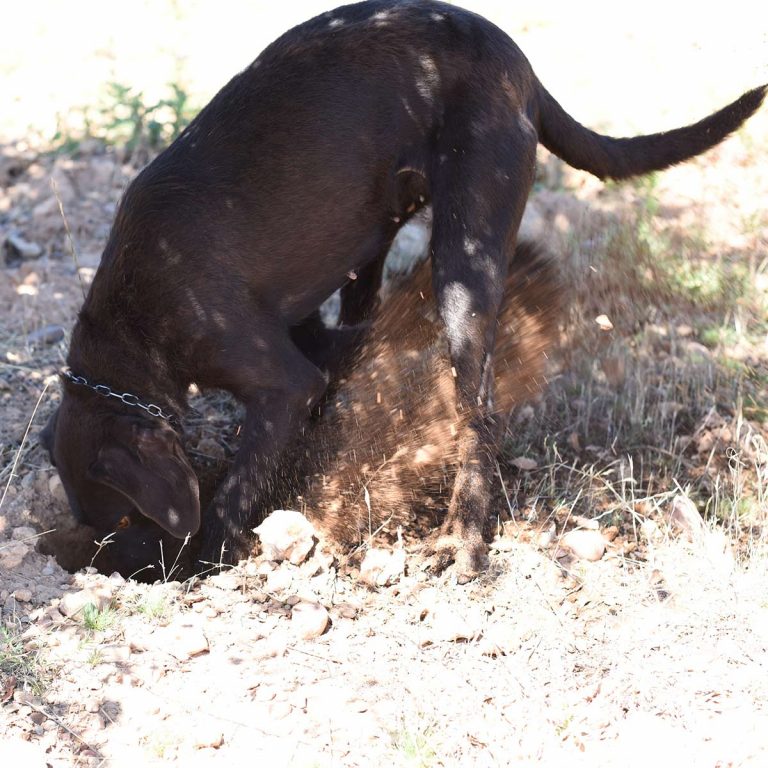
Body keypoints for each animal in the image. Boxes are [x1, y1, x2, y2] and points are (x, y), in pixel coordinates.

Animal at [40, 0, 760, 576]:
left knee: (479, 410)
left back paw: (464, 541)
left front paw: (207, 552)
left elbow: (237, 487)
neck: (134, 321)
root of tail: (520, 63)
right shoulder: (306, 336)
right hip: (368, 241)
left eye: (125, 518)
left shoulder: (278, 379)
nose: (130, 572)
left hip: (465, 258)